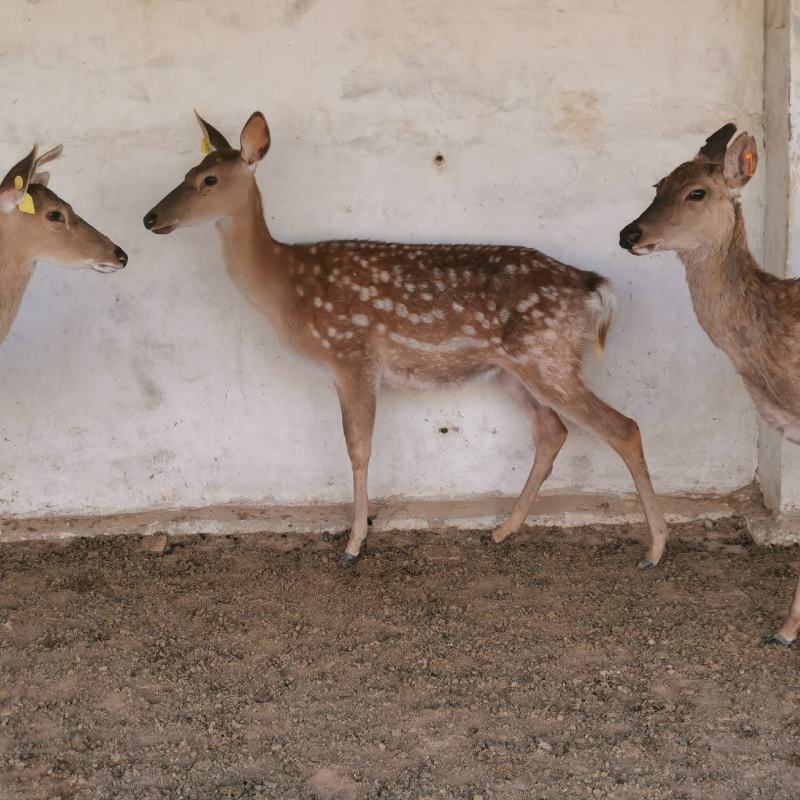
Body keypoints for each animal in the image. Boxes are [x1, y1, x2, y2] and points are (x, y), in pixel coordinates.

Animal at [143, 110, 668, 569]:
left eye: (209, 181)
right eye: (188, 171)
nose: (149, 218)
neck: (285, 285)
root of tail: (592, 287)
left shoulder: (352, 355)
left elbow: (358, 448)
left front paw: (353, 545)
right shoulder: (345, 369)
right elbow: (356, 445)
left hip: (547, 355)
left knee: (622, 427)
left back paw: (655, 549)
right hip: (511, 368)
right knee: (551, 431)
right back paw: (502, 530)